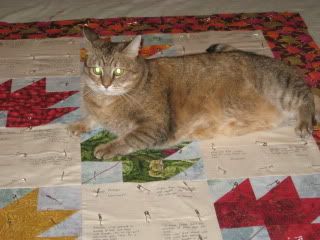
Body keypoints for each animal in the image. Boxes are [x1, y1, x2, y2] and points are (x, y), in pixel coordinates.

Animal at [69, 27, 318, 160]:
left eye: (118, 72)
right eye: (97, 70)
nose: (105, 84)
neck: (105, 100)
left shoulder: (153, 127)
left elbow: (127, 138)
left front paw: (106, 148)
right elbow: (91, 117)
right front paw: (79, 124)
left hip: (282, 88)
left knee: (306, 99)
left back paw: (304, 124)